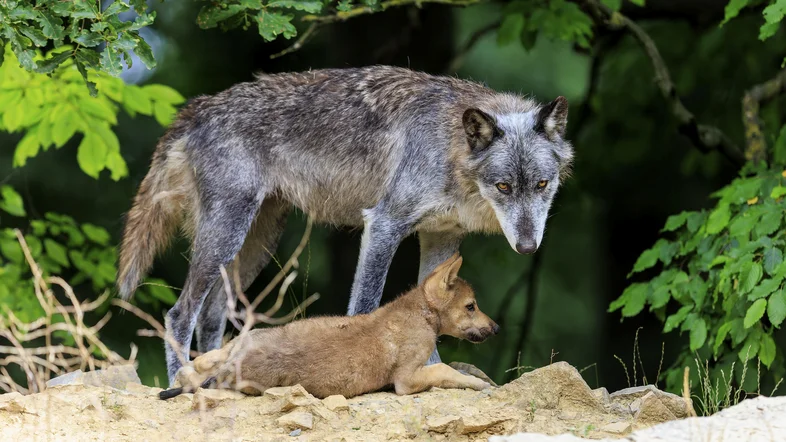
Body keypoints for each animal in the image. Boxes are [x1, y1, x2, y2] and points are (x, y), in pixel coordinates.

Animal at [116, 65, 573, 384]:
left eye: (542, 184)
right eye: (503, 186)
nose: (528, 247)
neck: (450, 148)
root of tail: (200, 105)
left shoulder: (441, 238)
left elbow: (431, 310)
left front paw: (433, 369)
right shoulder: (385, 224)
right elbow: (366, 306)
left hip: (254, 249)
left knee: (210, 318)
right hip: (226, 237)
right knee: (179, 314)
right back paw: (180, 380)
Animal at [158, 253, 499, 400]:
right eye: (471, 306)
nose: (496, 329)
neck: (420, 314)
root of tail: (237, 362)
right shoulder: (406, 379)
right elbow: (446, 370)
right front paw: (479, 384)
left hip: (237, 342)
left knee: (194, 365)